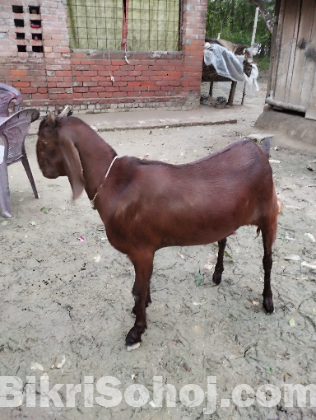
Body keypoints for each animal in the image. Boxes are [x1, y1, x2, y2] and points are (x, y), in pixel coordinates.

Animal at [35, 113, 280, 350]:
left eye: (45, 141)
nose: (43, 171)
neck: (114, 182)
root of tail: (260, 151)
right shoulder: (143, 252)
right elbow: (142, 286)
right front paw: (141, 308)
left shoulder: (142, 250)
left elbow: (138, 290)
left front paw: (136, 332)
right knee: (222, 241)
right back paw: (217, 274)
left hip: (270, 214)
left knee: (267, 260)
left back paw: (268, 301)